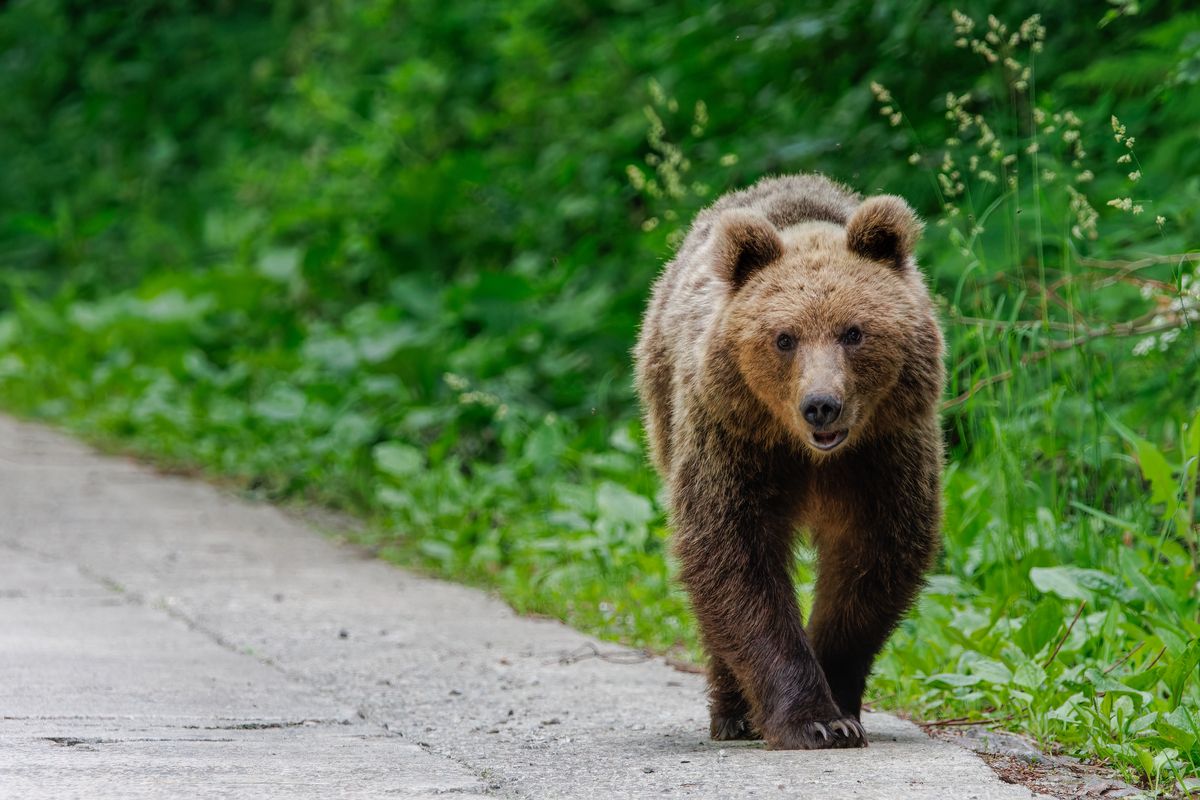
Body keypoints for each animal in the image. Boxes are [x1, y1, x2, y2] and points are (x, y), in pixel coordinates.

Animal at [633, 173, 940, 753]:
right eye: (784, 338)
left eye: (853, 331)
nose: (821, 404)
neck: (810, 455)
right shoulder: (736, 443)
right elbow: (733, 559)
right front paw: (812, 720)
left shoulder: (884, 453)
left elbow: (873, 560)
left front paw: (842, 707)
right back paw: (734, 715)